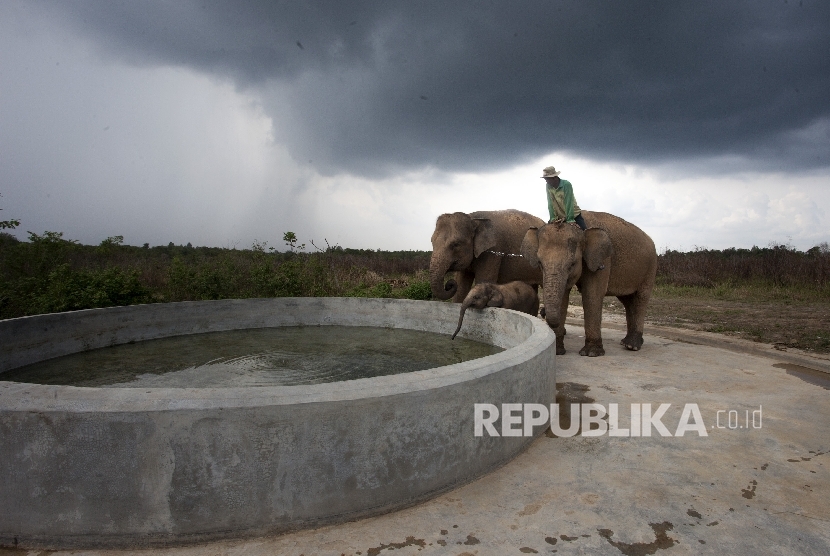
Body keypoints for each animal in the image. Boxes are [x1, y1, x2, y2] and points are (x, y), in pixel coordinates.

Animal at [524, 211, 660, 358]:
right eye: (540, 263)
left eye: (572, 264)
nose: (542, 313)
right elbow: (564, 296)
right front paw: (557, 351)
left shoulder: (603, 261)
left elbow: (592, 294)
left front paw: (592, 353)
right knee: (628, 301)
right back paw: (626, 343)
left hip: (651, 268)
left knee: (641, 299)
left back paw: (632, 346)